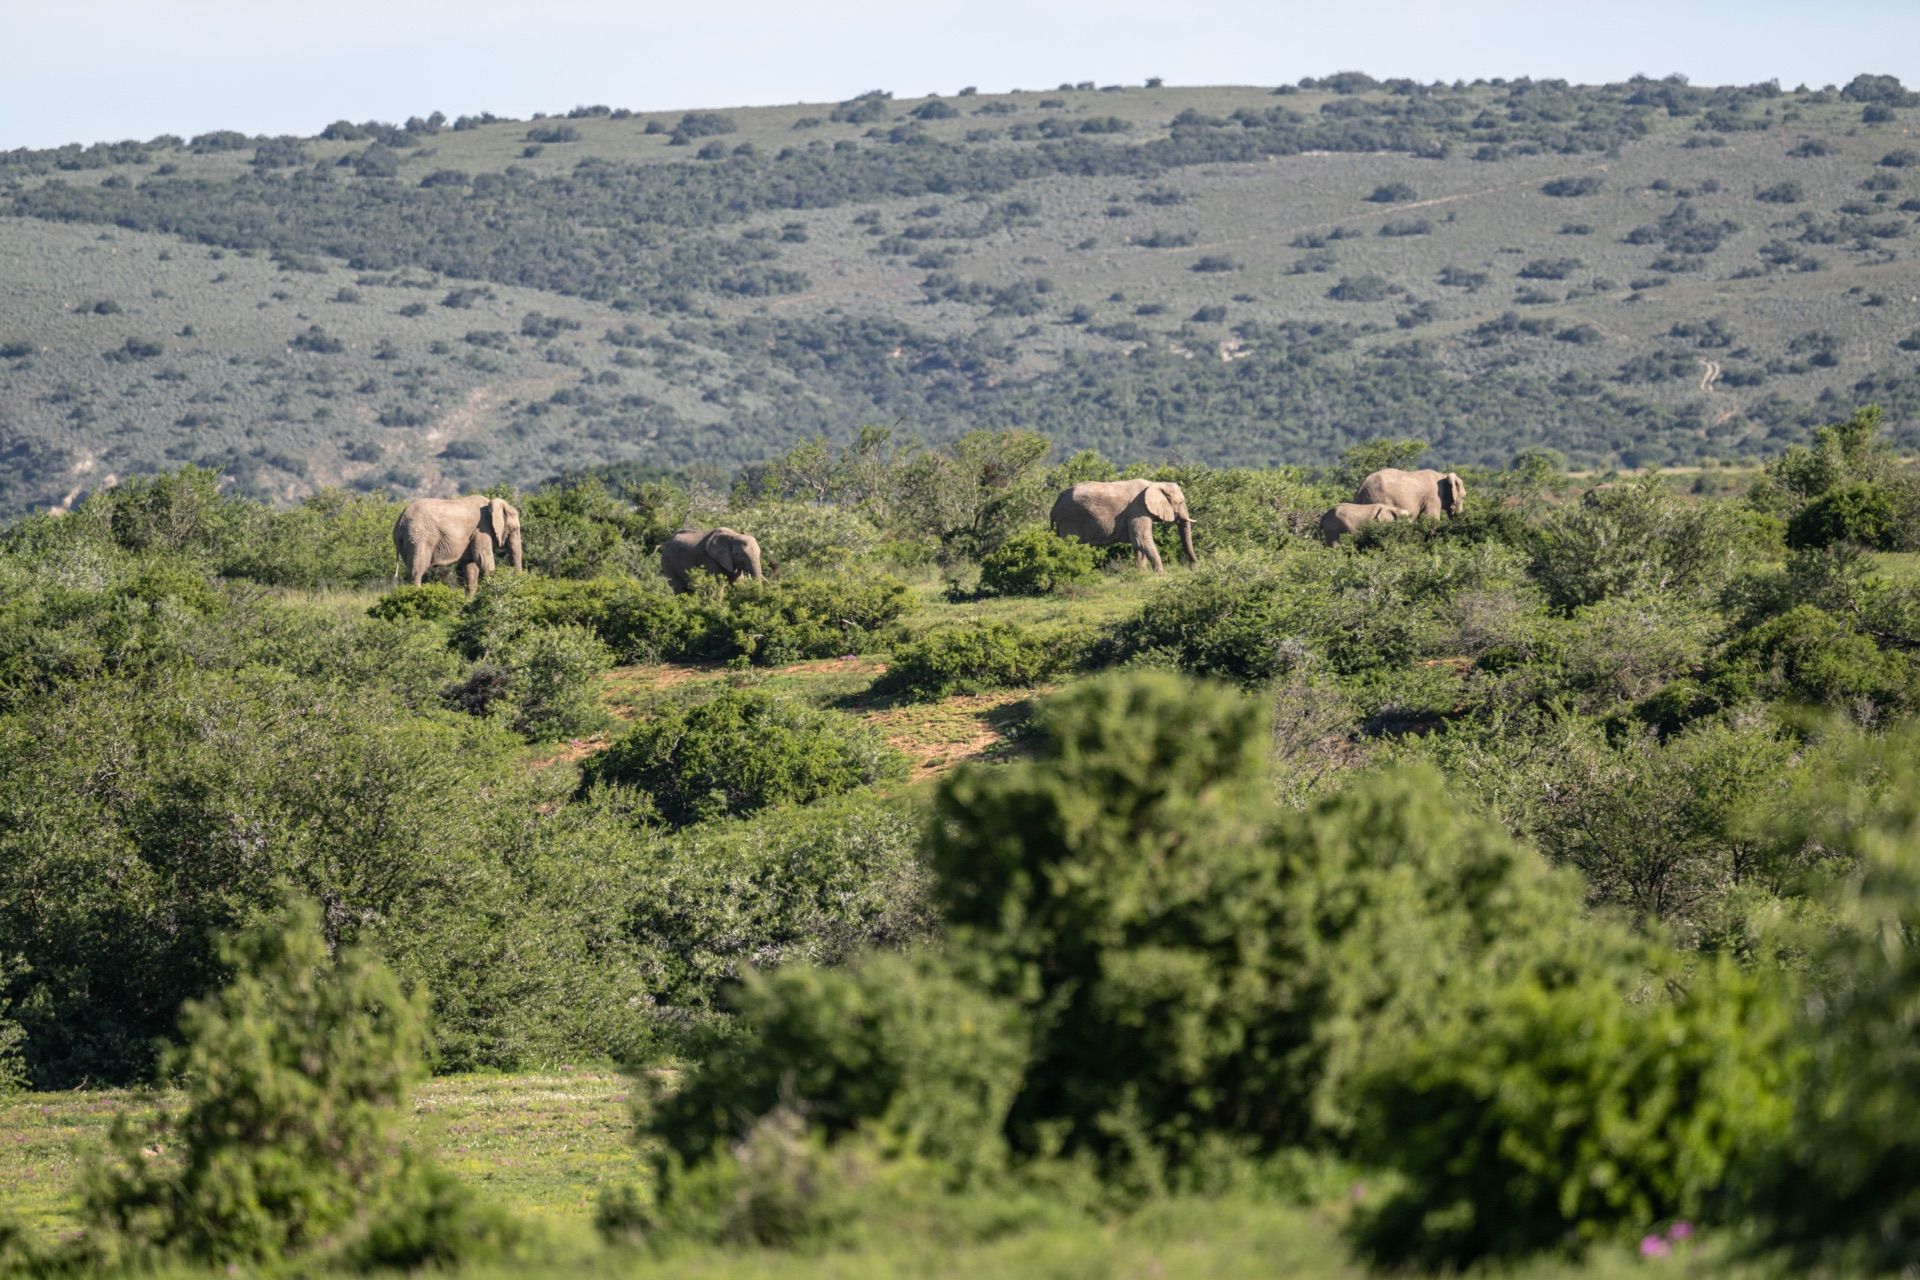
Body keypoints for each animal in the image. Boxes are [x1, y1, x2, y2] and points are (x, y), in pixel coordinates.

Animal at [393, 494, 523, 588]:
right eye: (515, 528)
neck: (491, 503)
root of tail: (400, 520)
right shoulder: (482, 529)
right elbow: (483, 559)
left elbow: (470, 567)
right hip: (419, 538)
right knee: (417, 570)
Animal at [1050, 479, 1197, 572]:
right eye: (1181, 502)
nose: (1194, 567)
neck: (1154, 484)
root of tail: (1056, 503)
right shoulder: (1138, 510)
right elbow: (1142, 539)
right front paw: (1161, 574)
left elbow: (1138, 544)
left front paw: (1141, 573)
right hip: (1070, 519)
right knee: (1071, 545)